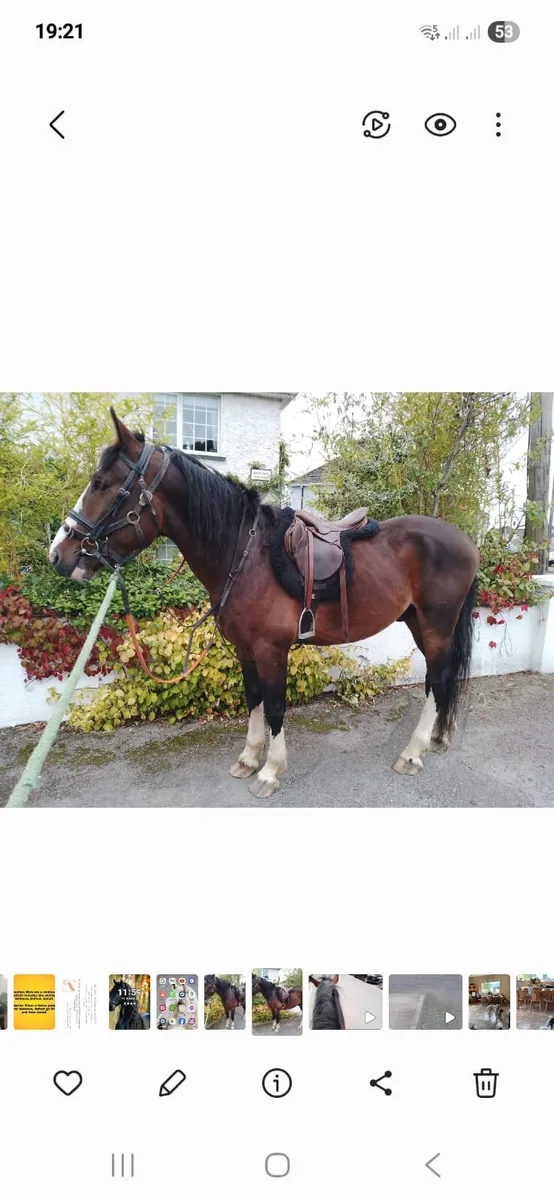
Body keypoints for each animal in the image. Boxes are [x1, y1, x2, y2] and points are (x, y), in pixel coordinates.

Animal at [49, 409, 480, 798]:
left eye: (102, 484)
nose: (58, 553)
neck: (245, 554)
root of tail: (465, 541)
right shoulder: (246, 650)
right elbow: (253, 700)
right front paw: (248, 759)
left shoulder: (271, 650)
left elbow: (274, 707)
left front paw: (270, 772)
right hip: (419, 624)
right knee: (440, 681)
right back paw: (437, 738)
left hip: (437, 626)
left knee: (437, 679)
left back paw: (412, 753)